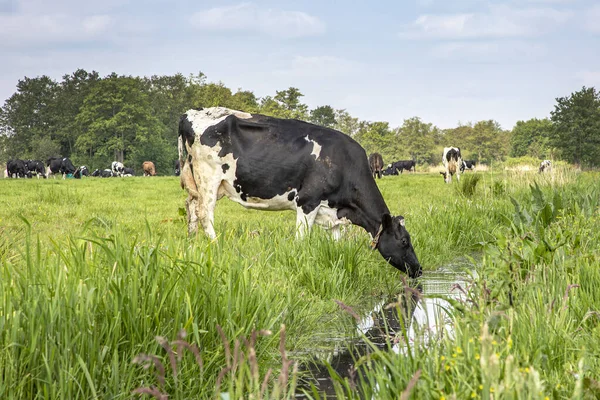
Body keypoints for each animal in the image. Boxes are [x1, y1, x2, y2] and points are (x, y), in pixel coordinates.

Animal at [178, 108, 422, 280]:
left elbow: (336, 245)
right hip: (209, 178)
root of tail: (191, 113)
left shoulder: (332, 213)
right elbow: (302, 239)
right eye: (404, 241)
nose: (419, 269)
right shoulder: (308, 201)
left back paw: (191, 243)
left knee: (191, 208)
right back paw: (215, 244)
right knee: (205, 213)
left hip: (199, 182)